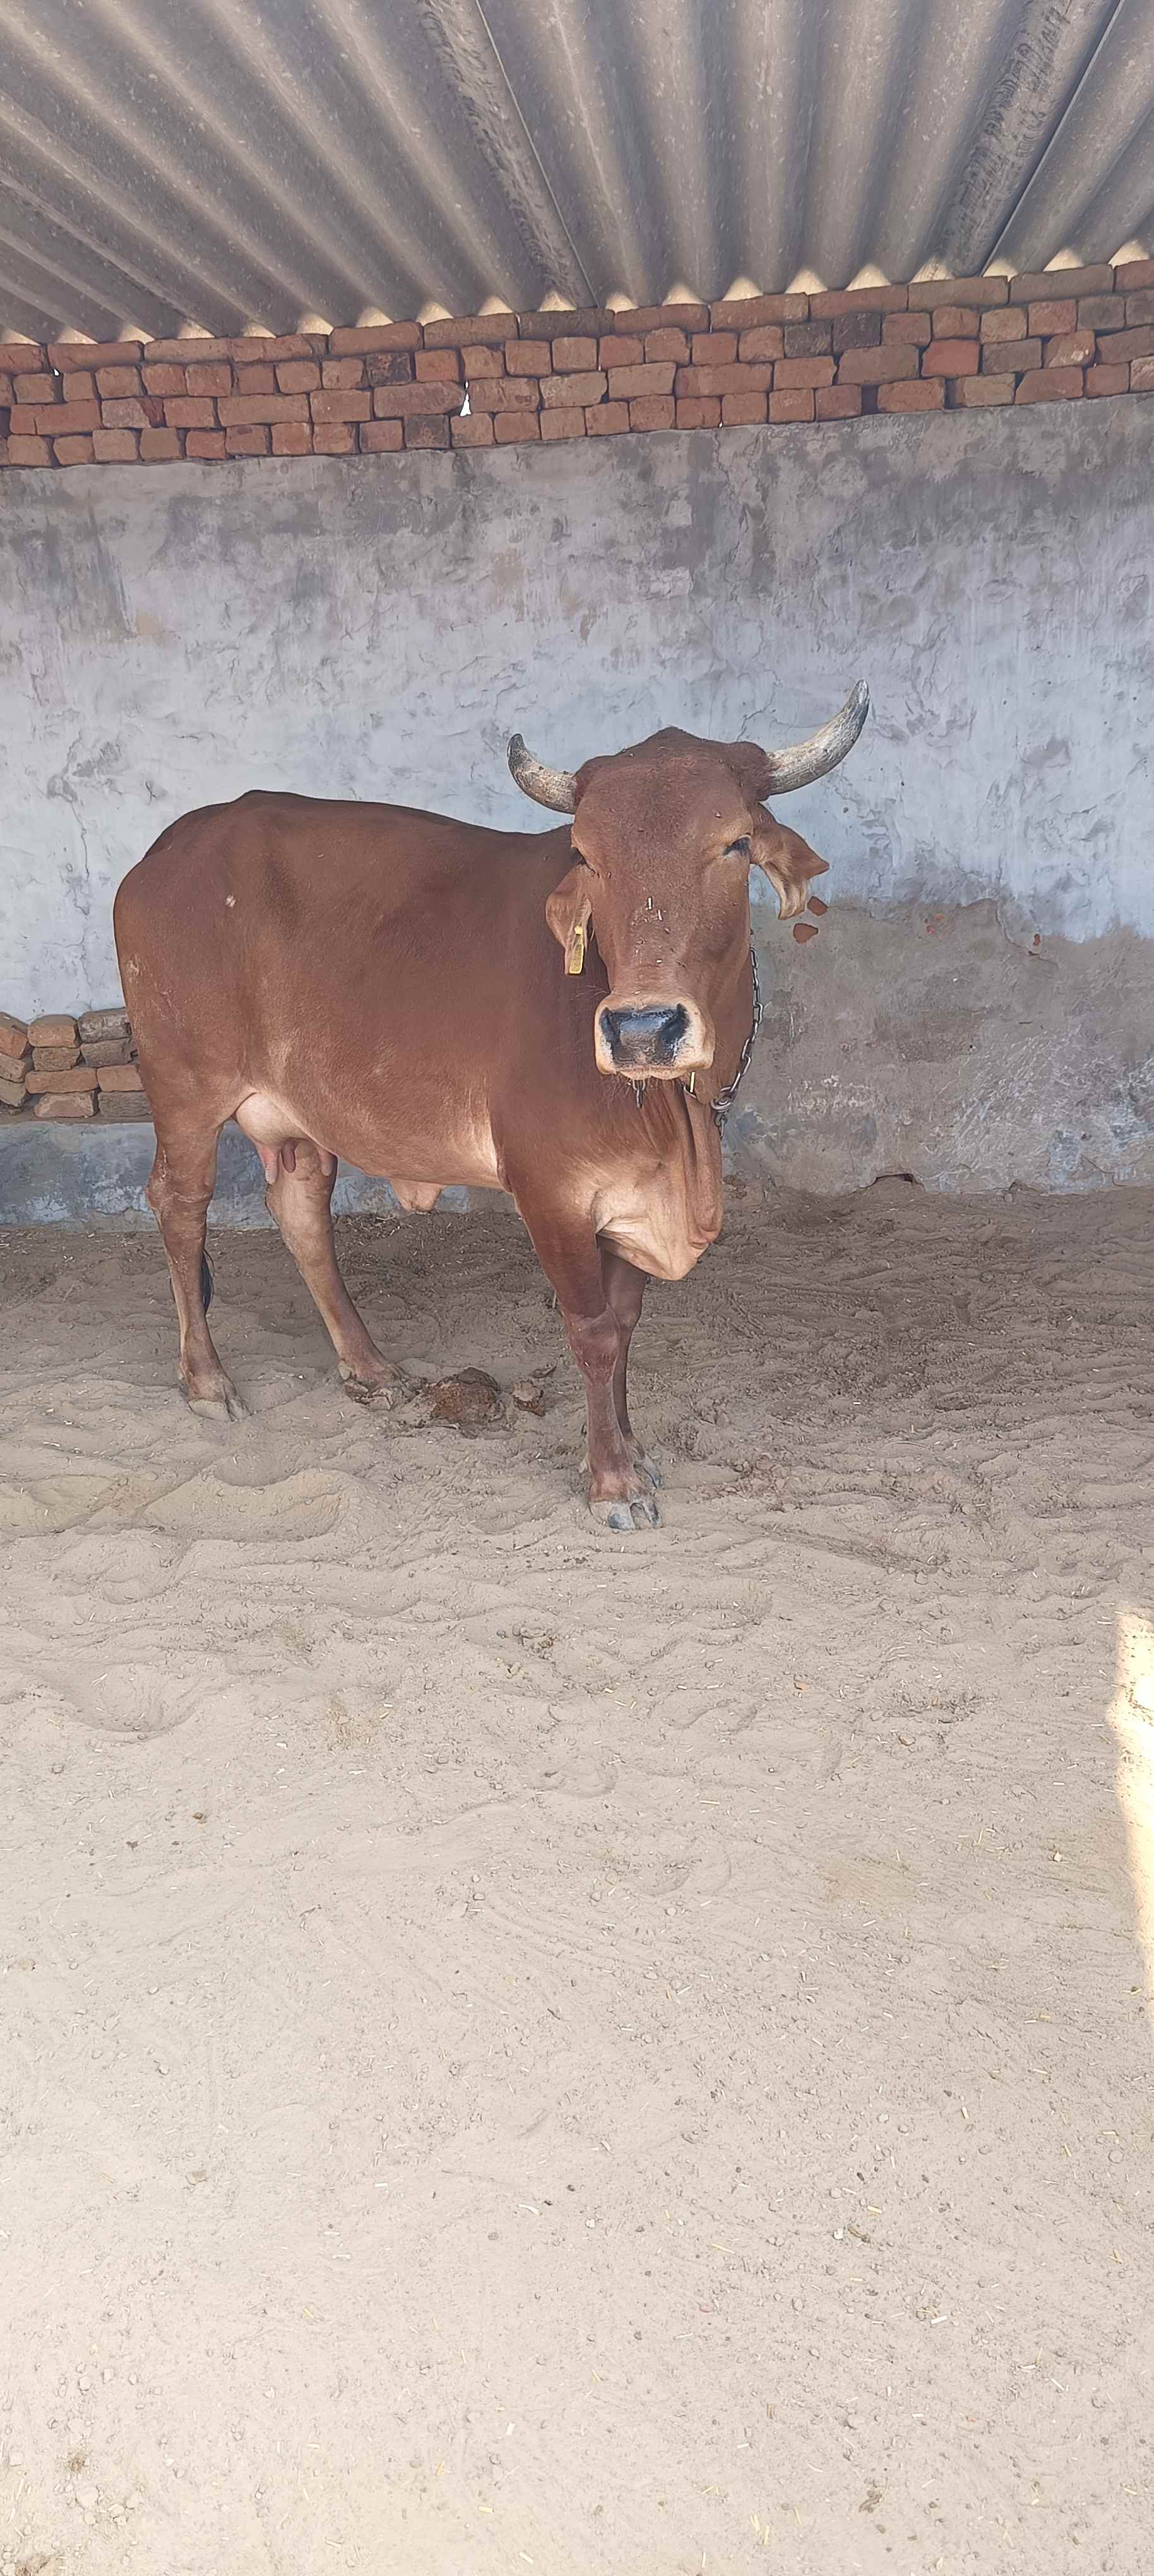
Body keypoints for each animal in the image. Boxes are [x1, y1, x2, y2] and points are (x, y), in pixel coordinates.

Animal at [113, 684, 868, 1529]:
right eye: (587, 856)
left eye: (736, 844)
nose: (643, 1029)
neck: (679, 1120)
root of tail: (169, 848)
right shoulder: (551, 1191)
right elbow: (593, 1333)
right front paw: (612, 1480)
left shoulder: (629, 1198)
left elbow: (626, 1327)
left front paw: (632, 1450)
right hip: (186, 1089)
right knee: (180, 1206)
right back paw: (208, 1381)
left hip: (299, 1111)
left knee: (300, 1209)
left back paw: (370, 1367)